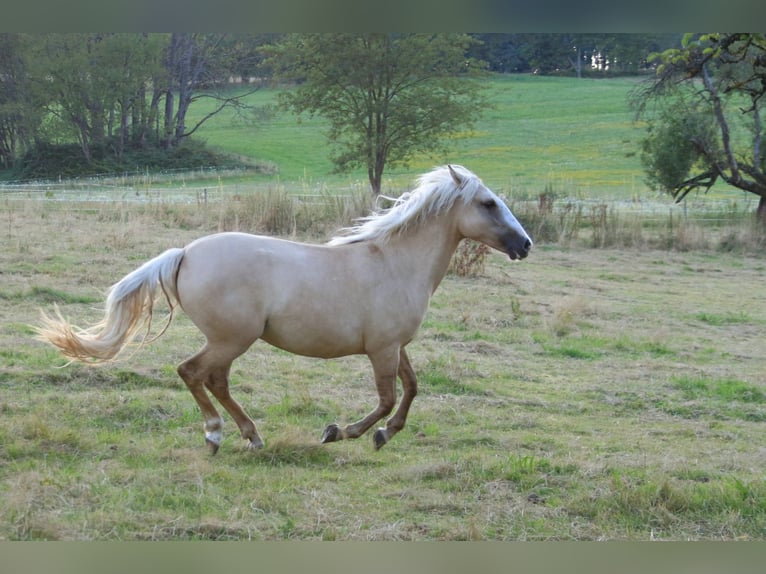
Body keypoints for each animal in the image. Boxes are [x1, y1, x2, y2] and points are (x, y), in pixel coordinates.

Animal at [37, 165, 536, 454]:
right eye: (488, 203)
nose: (525, 245)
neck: (393, 261)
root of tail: (185, 254)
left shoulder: (395, 346)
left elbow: (412, 389)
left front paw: (384, 435)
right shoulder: (381, 350)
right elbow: (387, 397)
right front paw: (341, 432)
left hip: (231, 341)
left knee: (214, 380)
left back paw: (251, 436)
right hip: (232, 338)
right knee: (193, 372)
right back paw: (217, 434)